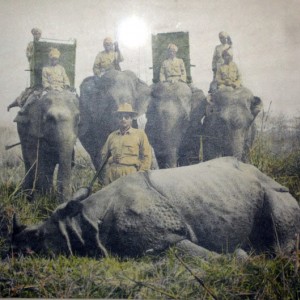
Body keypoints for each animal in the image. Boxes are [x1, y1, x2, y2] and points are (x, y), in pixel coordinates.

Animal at [11, 157, 300, 258]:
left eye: (37, 235)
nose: (14, 247)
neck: (86, 218)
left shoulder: (166, 238)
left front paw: (239, 255)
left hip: (274, 189)